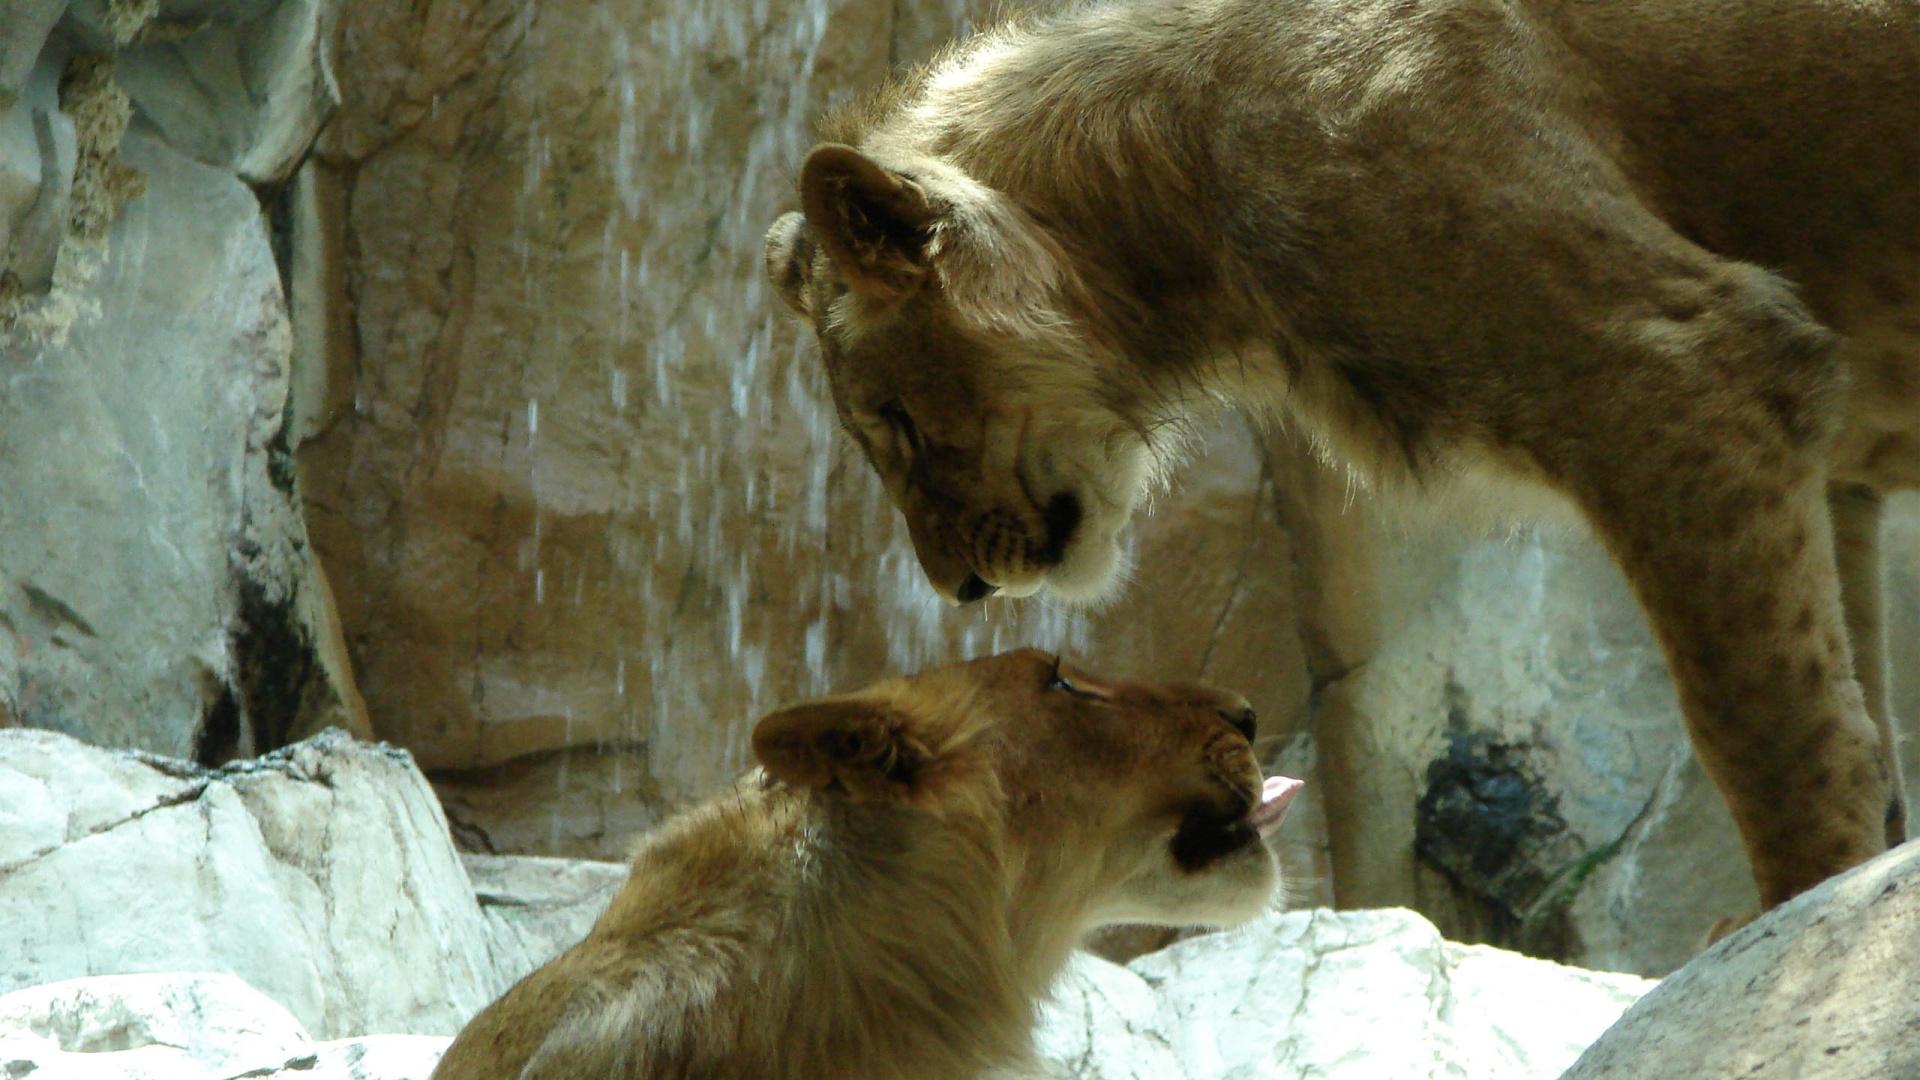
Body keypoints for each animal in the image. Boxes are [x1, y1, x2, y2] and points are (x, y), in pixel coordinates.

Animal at [763, 0, 1920, 919]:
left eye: (895, 419)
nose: (954, 586)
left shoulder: (1679, 366)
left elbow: (1768, 728)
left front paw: (1795, 921)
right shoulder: (1824, 453)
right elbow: (1853, 712)